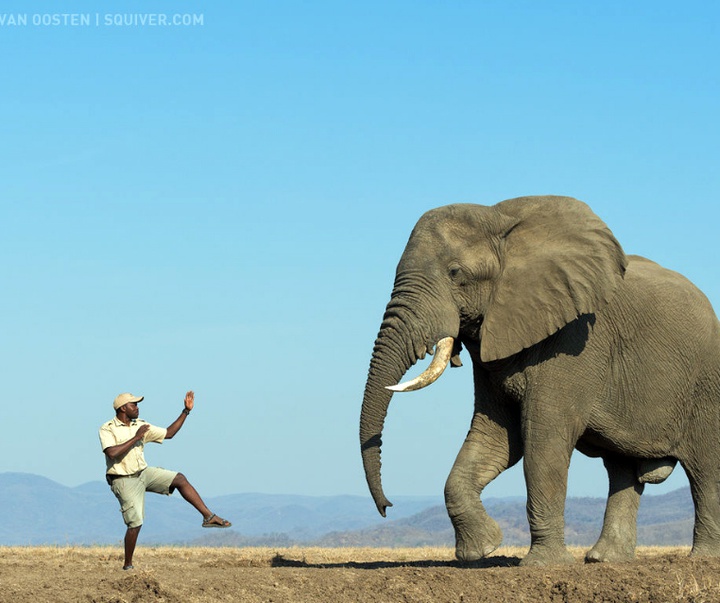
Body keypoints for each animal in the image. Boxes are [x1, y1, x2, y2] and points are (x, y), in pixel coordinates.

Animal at [360, 197, 720, 568]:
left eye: (455, 273)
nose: (387, 507)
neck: (500, 219)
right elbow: (496, 438)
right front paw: (481, 551)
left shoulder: (576, 340)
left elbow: (542, 441)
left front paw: (542, 565)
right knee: (621, 468)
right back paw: (604, 560)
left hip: (705, 382)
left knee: (706, 470)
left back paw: (703, 558)